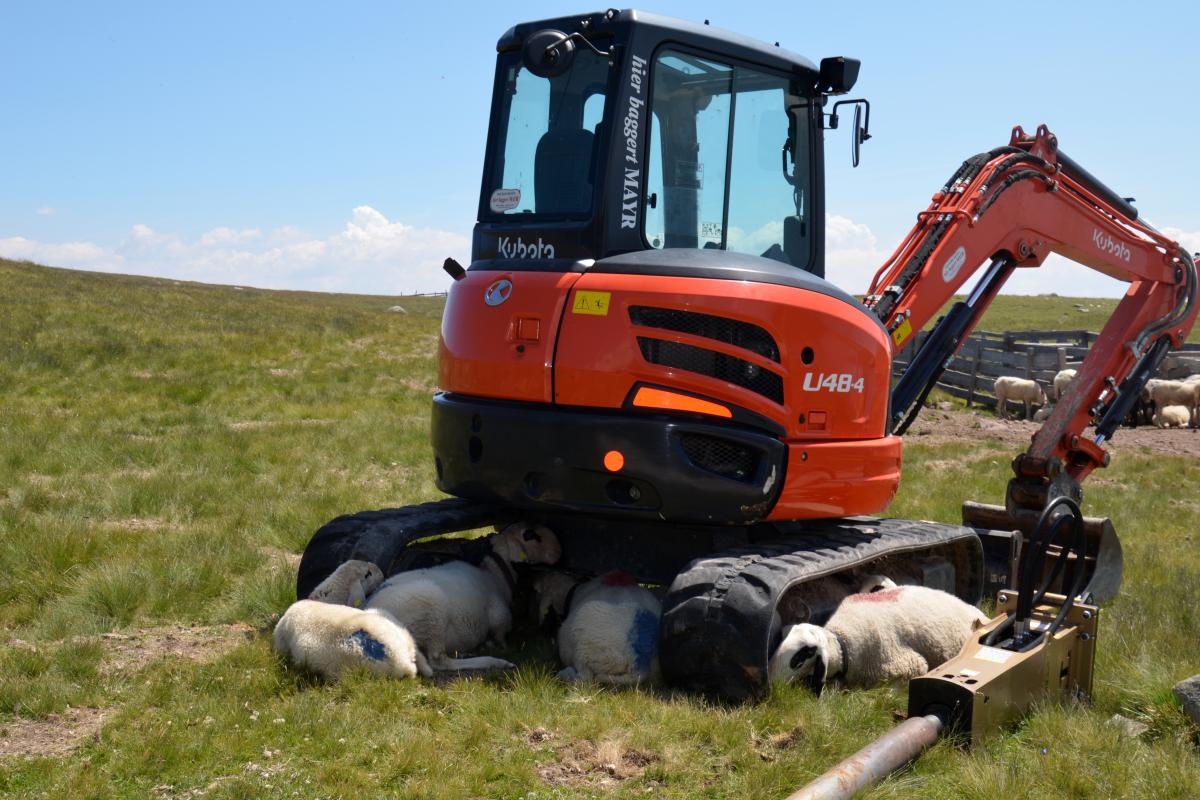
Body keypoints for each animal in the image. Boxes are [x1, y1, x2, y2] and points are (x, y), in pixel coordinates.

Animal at [364, 522, 561, 671]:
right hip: (431, 611)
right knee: (439, 661)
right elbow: (501, 638)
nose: (559, 550)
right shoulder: (500, 619)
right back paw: (491, 660)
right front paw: (499, 648)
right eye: (530, 535)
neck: (494, 575)